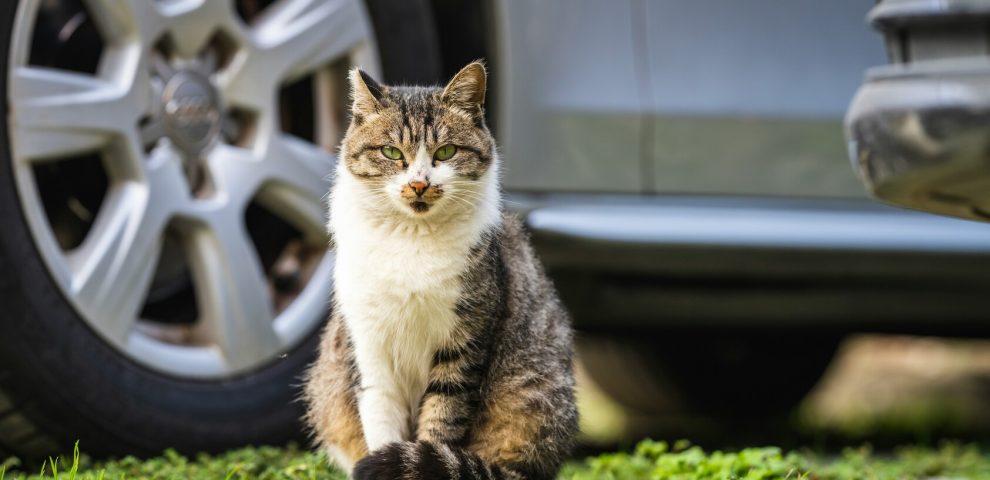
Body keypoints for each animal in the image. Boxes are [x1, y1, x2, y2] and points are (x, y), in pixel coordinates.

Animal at [306, 62, 576, 480]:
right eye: (391, 152)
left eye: (446, 151)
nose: (419, 183)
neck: (411, 238)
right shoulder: (369, 349)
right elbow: (380, 422)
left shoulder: (464, 342)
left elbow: (440, 425)